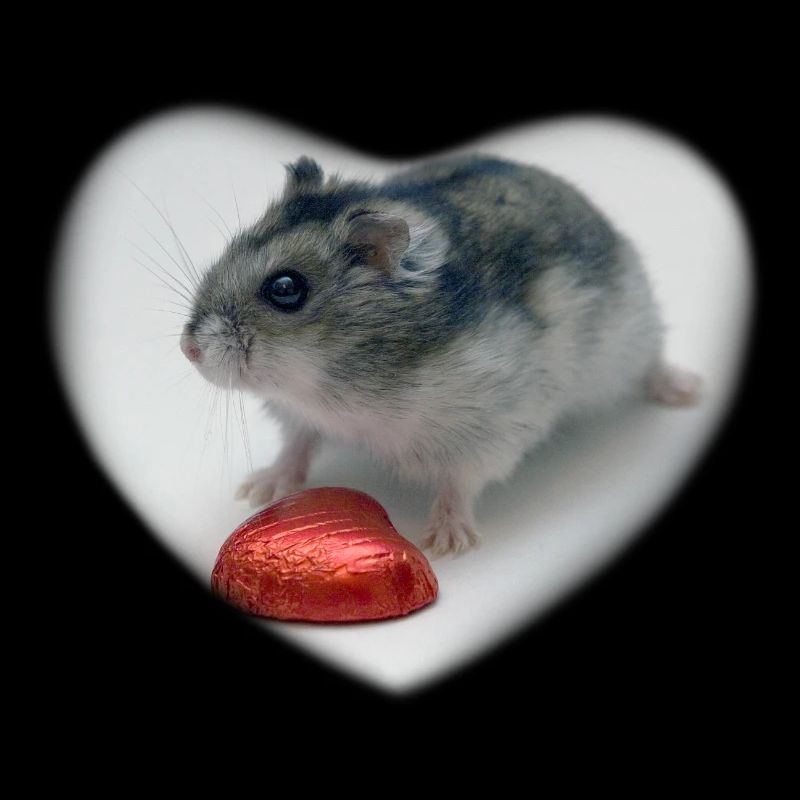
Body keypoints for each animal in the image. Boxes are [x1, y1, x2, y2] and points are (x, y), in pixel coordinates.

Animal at [180, 154, 701, 555]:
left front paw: (446, 544)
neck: (328, 379)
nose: (188, 350)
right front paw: (257, 490)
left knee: (653, 361)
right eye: (232, 246)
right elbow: (296, 446)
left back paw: (687, 391)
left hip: (632, 332)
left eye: (286, 288)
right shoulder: (299, 414)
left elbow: (460, 483)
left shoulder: (490, 430)